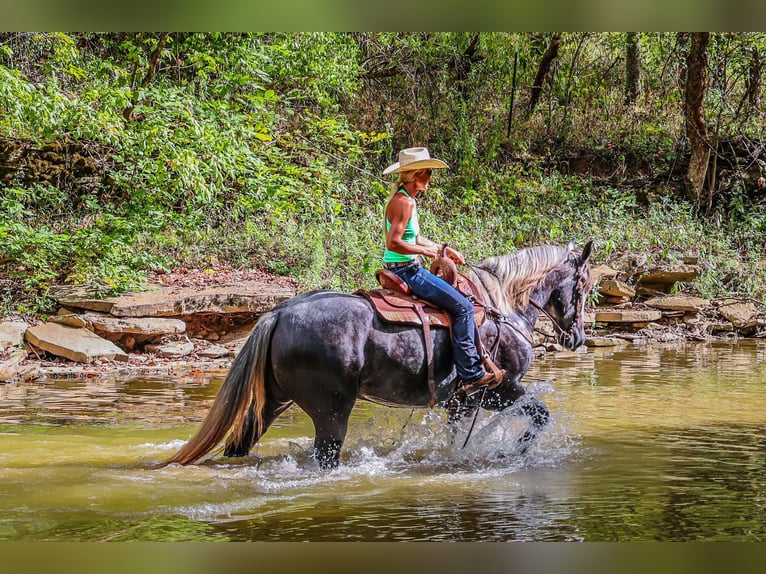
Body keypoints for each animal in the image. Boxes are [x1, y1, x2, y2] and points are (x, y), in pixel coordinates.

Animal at [165, 241, 593, 469]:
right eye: (584, 285)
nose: (577, 338)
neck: (500, 306)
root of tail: (280, 312)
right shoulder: (497, 390)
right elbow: (540, 415)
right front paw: (513, 452)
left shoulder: (463, 403)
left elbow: (457, 437)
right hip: (331, 410)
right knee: (325, 453)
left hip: (273, 402)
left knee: (241, 443)